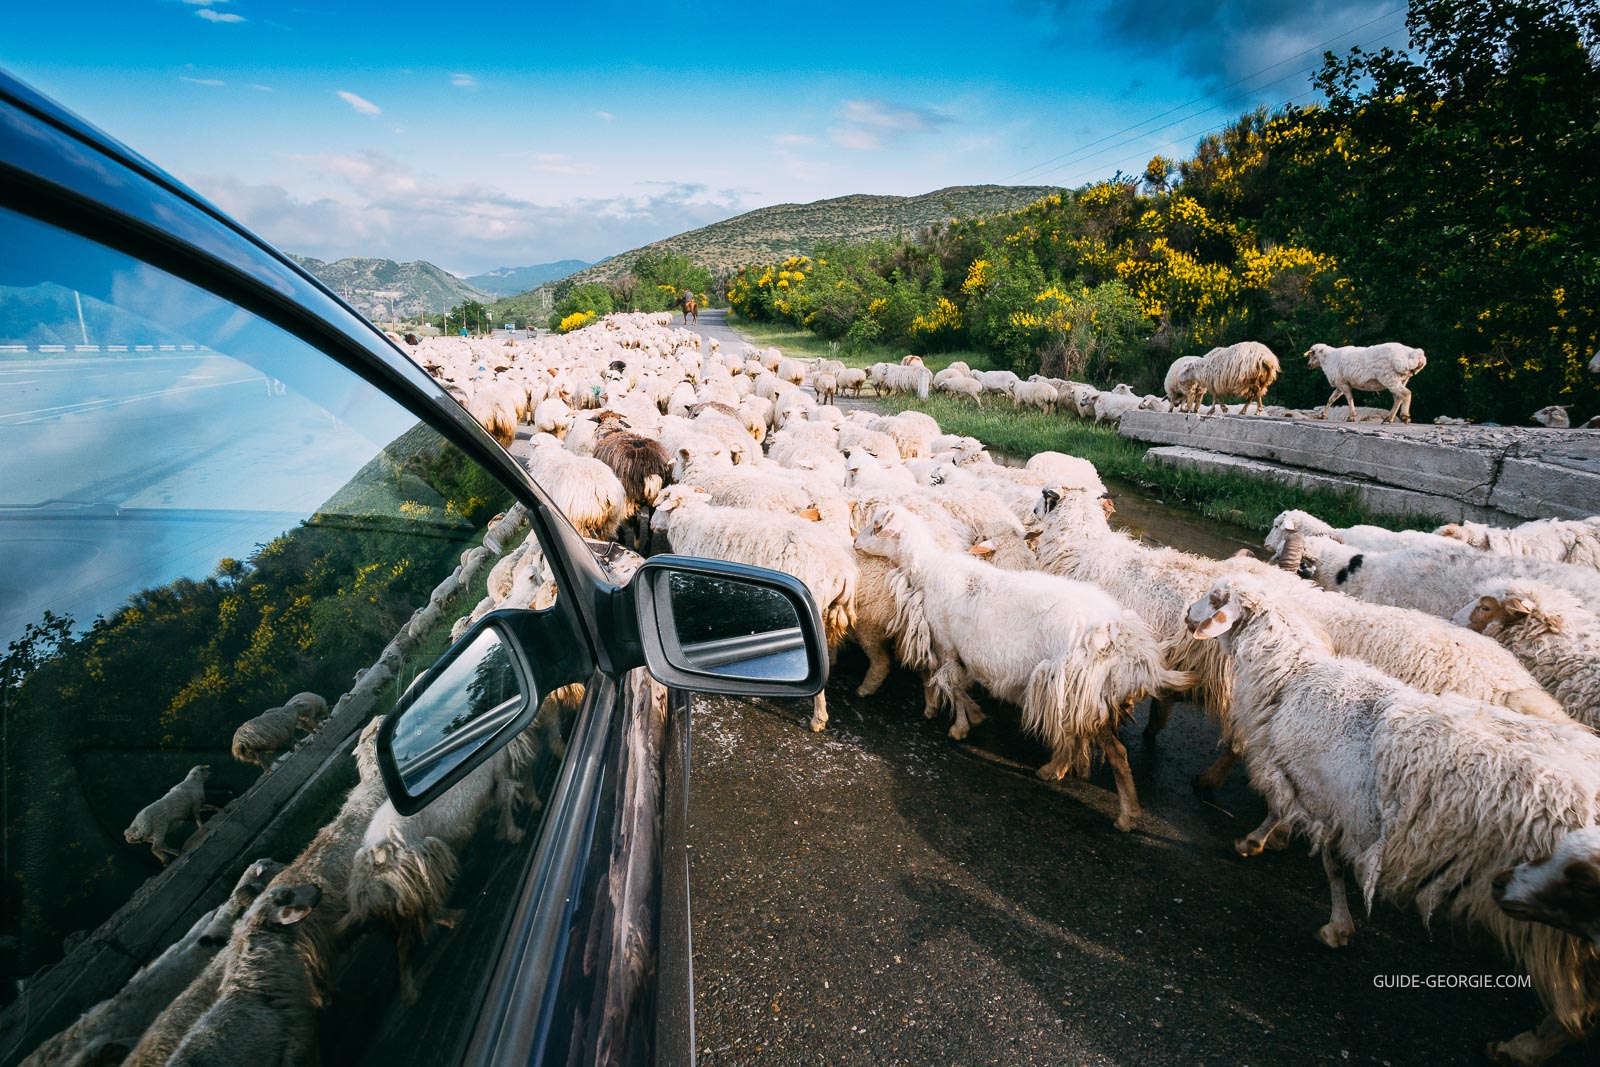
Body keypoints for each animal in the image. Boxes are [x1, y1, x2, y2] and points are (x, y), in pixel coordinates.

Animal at [854, 504, 1191, 830]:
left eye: (876, 525)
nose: (855, 541)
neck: (930, 568)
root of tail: (1122, 638)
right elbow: (960, 688)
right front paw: (972, 716)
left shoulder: (948, 646)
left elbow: (956, 688)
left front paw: (960, 727)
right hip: (1081, 694)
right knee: (1079, 739)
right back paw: (1057, 770)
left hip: (1076, 686)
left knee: (1115, 753)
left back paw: (1123, 815)